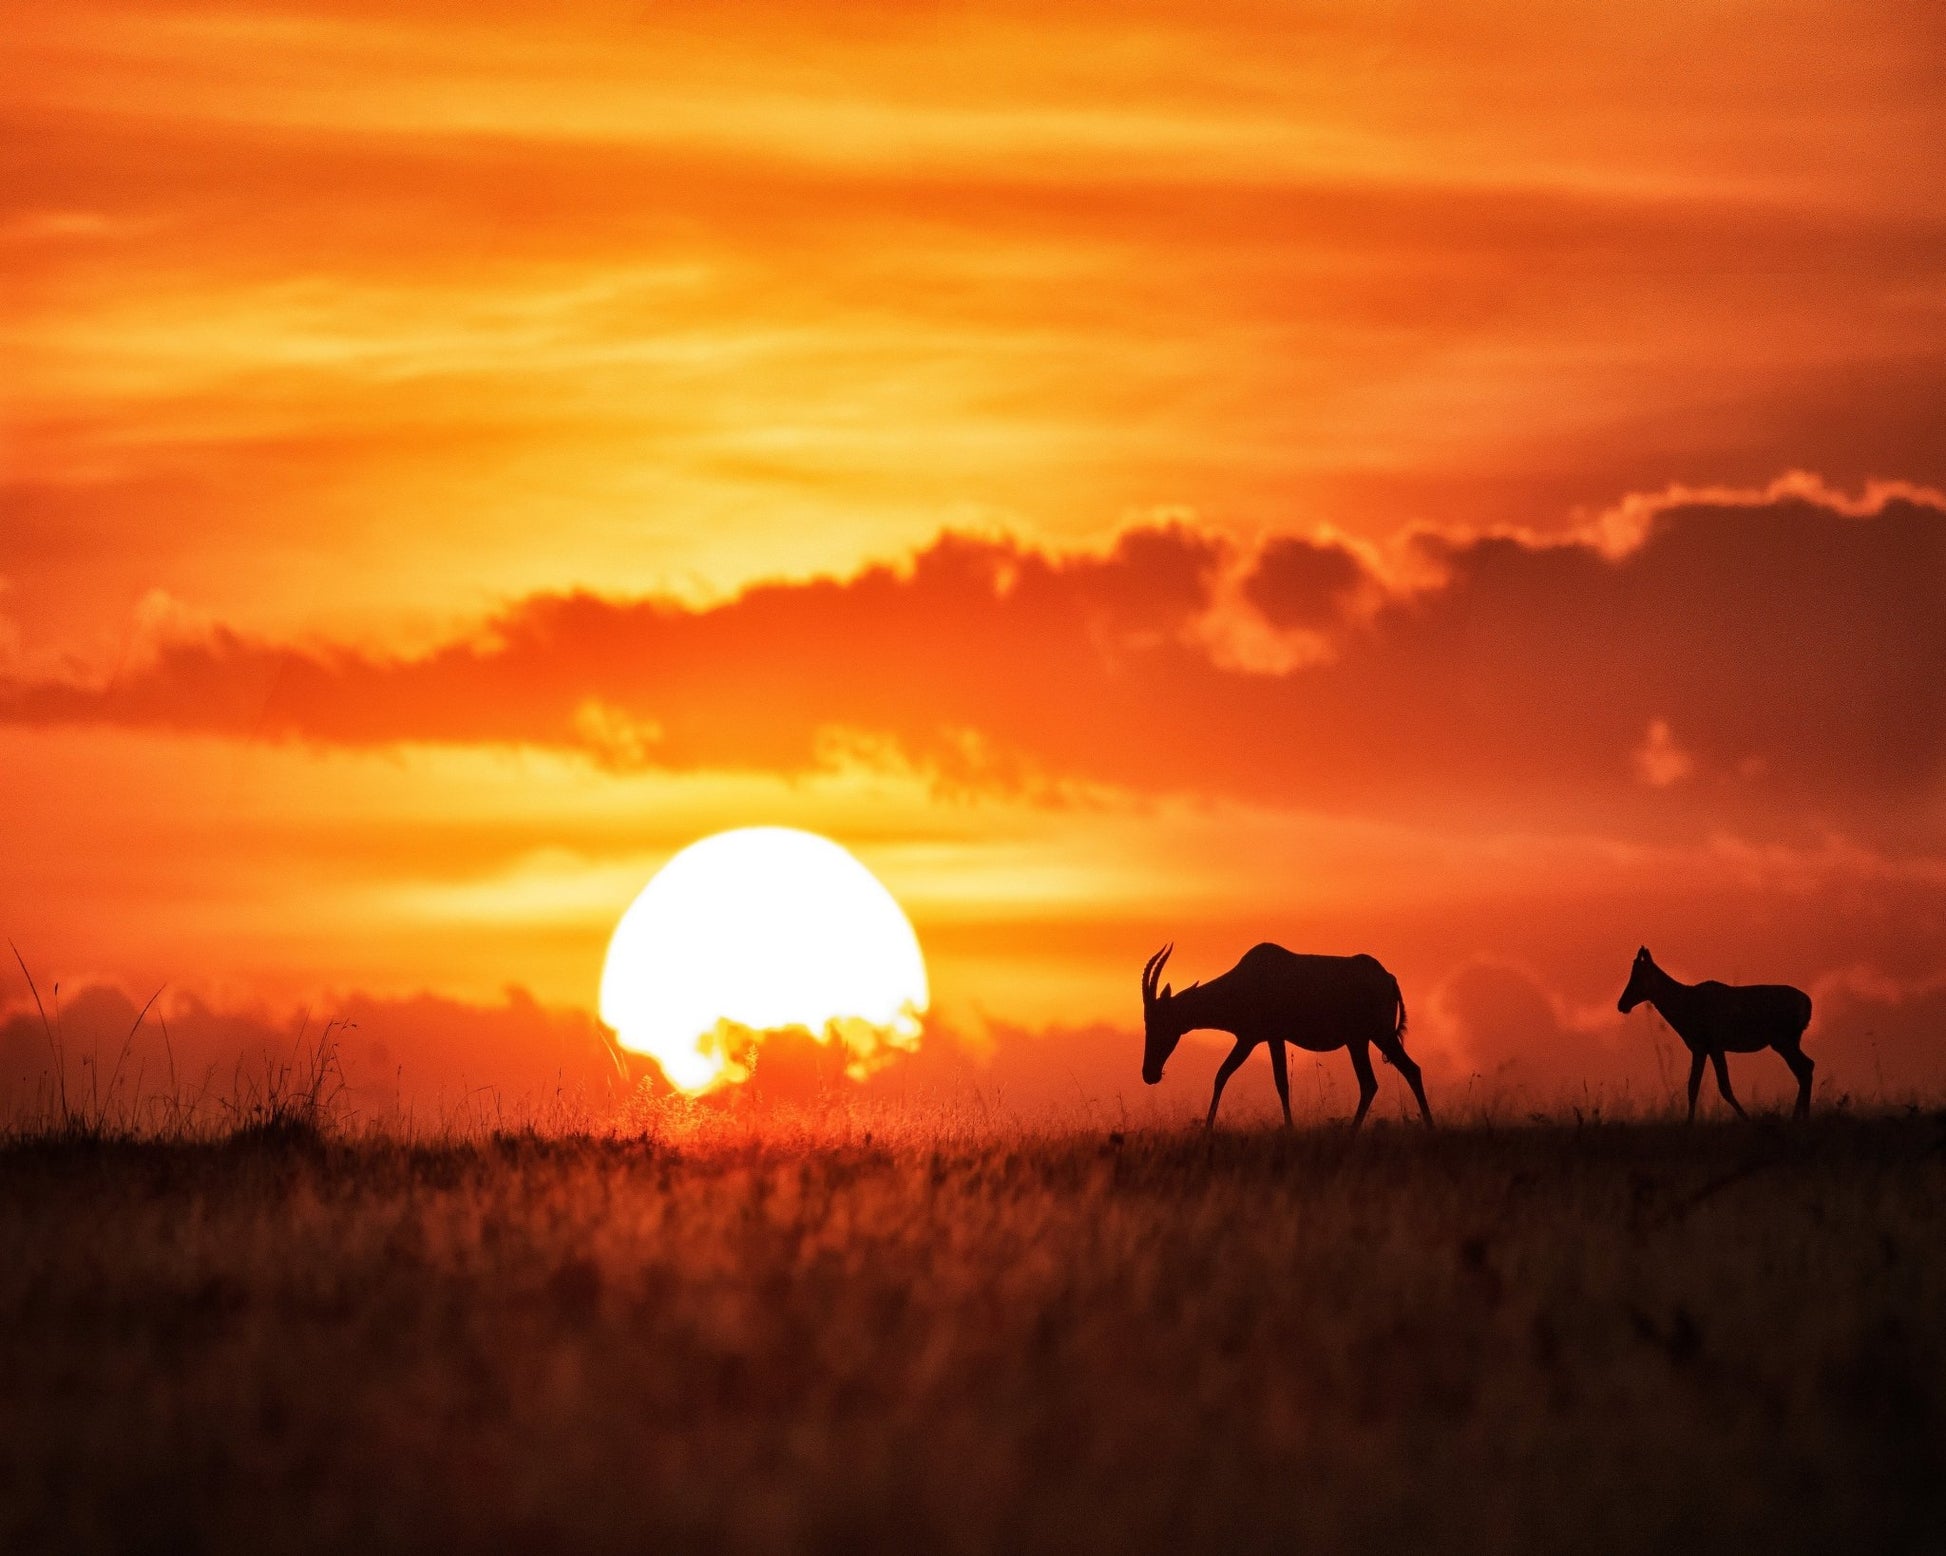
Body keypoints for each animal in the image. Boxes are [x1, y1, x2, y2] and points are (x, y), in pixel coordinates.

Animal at [1141, 943, 1434, 1130]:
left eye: (1158, 1021)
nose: (1149, 1074)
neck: (1248, 977)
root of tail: (1388, 978)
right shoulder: (1266, 1039)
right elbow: (1274, 1081)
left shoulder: (1255, 1038)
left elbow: (1231, 1076)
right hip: (1367, 1040)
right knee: (1403, 1072)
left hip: (1371, 1037)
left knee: (1379, 1080)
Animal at [1617, 946, 1815, 1121]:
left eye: (1637, 976)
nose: (1621, 1004)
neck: (1684, 1005)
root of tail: (1808, 1004)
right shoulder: (1700, 1048)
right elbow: (1693, 1087)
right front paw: (1688, 1124)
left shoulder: (1714, 1045)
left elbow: (1724, 1087)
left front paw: (1749, 1120)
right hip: (1788, 1042)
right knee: (1806, 1067)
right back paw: (1799, 1118)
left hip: (1783, 1041)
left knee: (1805, 1068)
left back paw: (1800, 1118)